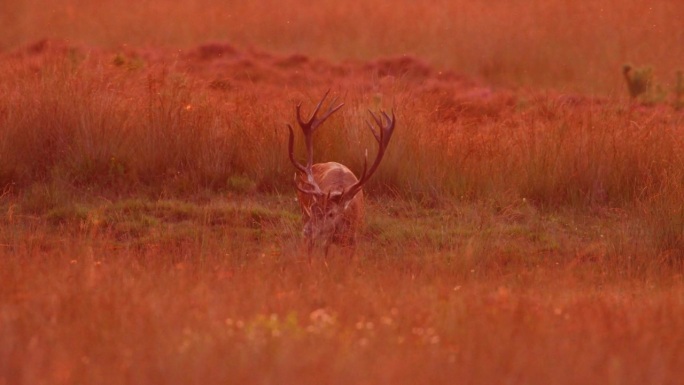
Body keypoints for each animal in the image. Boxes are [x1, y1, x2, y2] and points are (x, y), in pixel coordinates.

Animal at [288, 91, 396, 255]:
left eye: (331, 213)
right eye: (313, 208)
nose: (307, 231)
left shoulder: (354, 239)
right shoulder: (325, 240)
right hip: (303, 216)